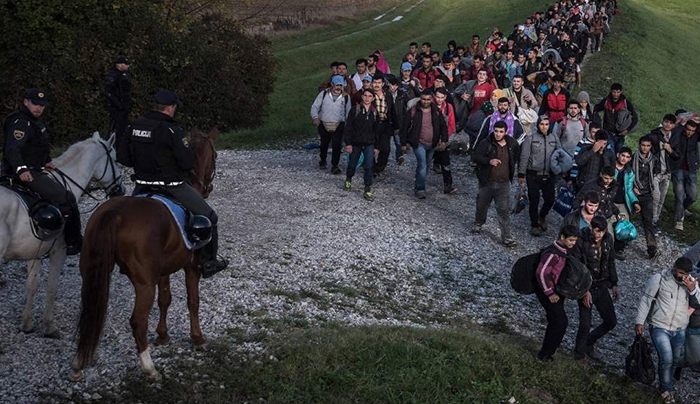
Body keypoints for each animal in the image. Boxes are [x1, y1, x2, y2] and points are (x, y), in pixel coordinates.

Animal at [0, 133, 124, 338]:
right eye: (114, 160)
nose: (120, 190)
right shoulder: (59, 252)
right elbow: (52, 287)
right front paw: (49, 326)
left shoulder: (35, 253)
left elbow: (32, 285)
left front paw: (26, 324)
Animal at [69, 127, 219, 382]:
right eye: (215, 156)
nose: (207, 188)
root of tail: (115, 214)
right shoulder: (191, 267)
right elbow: (193, 301)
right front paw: (198, 338)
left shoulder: (163, 270)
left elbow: (165, 299)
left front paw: (162, 335)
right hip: (144, 283)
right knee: (138, 321)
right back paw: (149, 367)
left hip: (90, 274)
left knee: (87, 314)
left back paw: (78, 364)